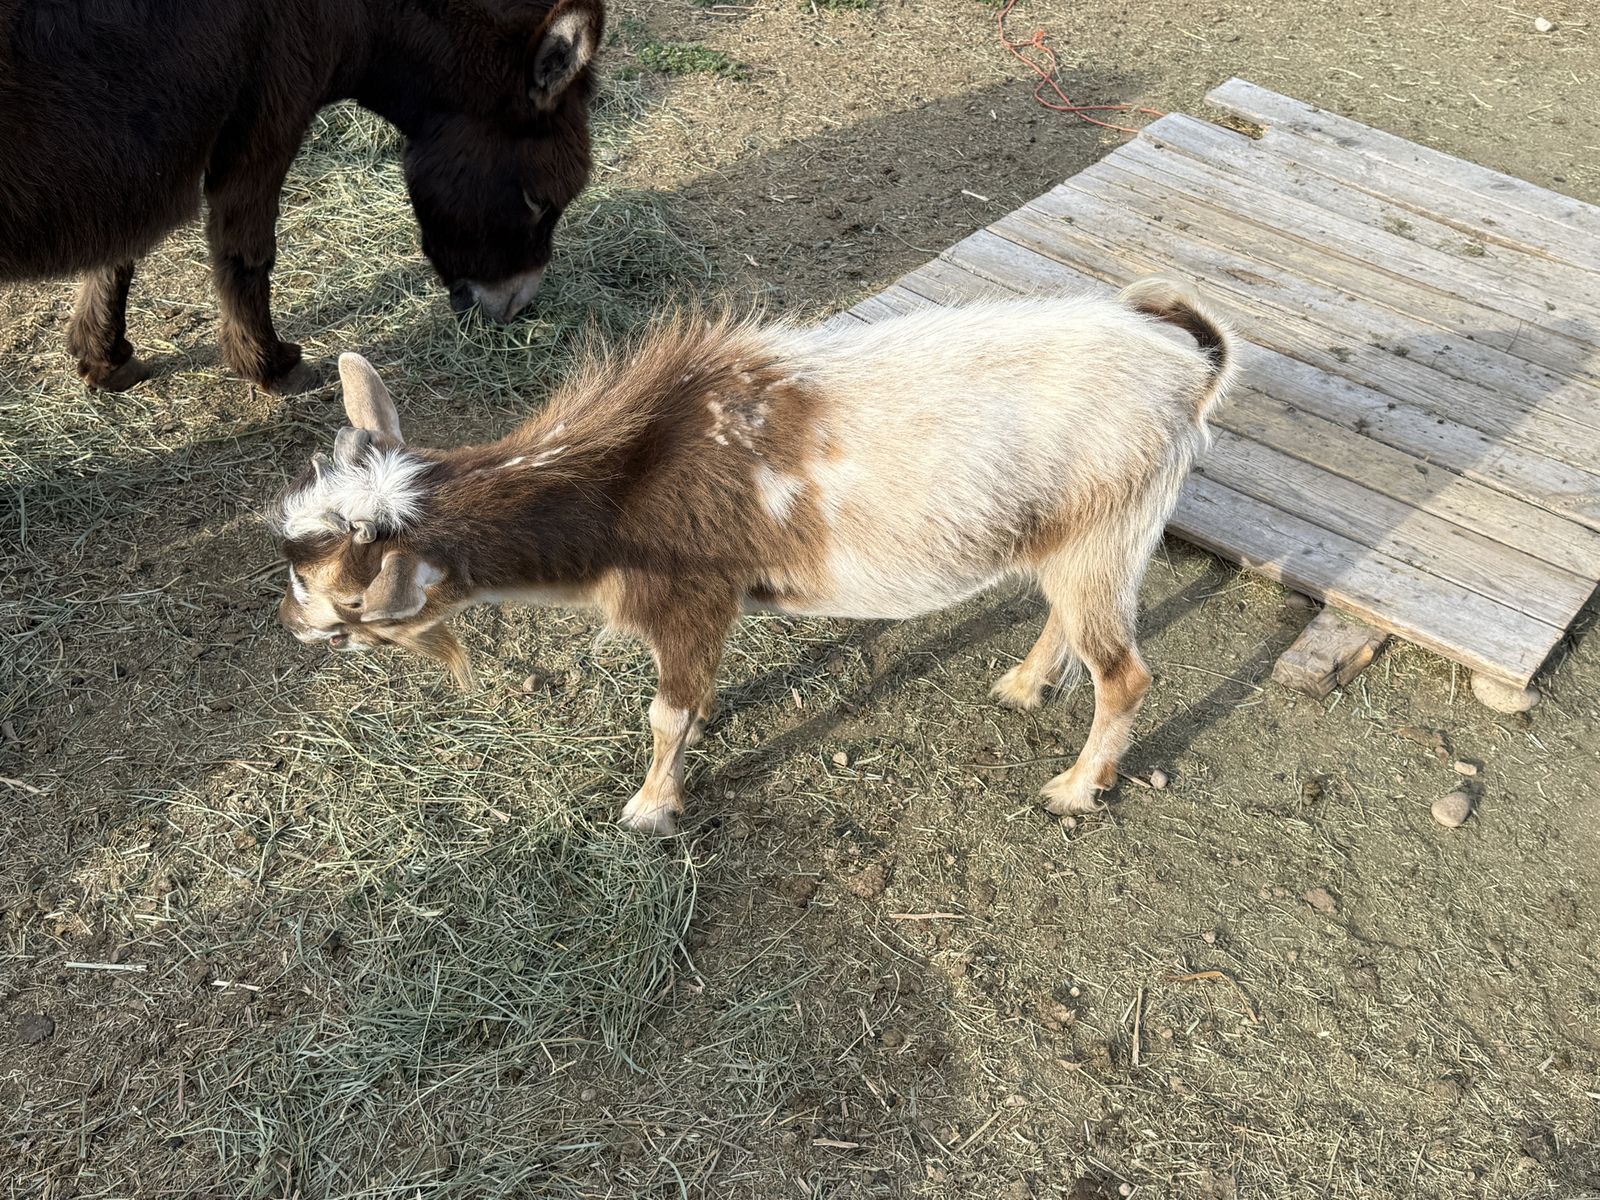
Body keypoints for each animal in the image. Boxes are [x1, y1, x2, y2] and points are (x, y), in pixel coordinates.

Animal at [0, 0, 604, 393]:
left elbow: (122, 251)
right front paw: (270, 366)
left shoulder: (146, 156)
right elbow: (248, 250)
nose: (517, 312)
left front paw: (103, 358)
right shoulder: (269, 118)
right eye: (538, 202)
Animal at [269, 279, 1237, 834]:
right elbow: (692, 704)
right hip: (1071, 536)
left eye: (347, 601)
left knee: (1125, 673)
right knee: (1068, 623)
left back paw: (1073, 789)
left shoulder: (692, 599)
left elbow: (666, 714)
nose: (289, 622)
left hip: (1109, 531)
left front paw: (649, 810)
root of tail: (1187, 367)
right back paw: (1024, 686)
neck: (624, 479)